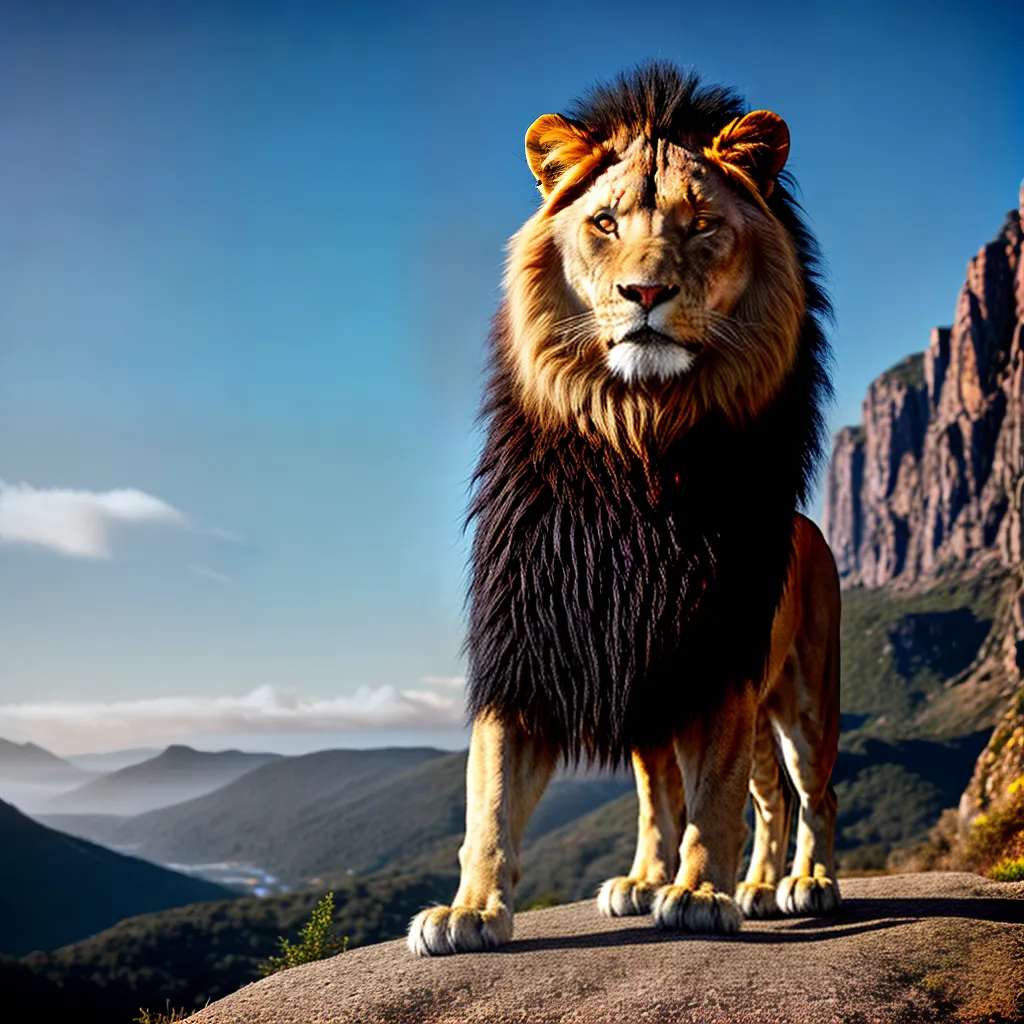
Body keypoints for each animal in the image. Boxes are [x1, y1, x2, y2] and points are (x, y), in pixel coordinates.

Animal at [408, 64, 840, 956]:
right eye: (604, 222)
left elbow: (711, 798)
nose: (645, 291)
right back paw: (680, 882)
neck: (636, 439)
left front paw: (701, 895)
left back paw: (800, 884)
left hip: (804, 696)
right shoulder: (531, 643)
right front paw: (470, 910)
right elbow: (490, 800)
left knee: (809, 795)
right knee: (712, 796)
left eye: (702, 224)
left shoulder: (717, 655)